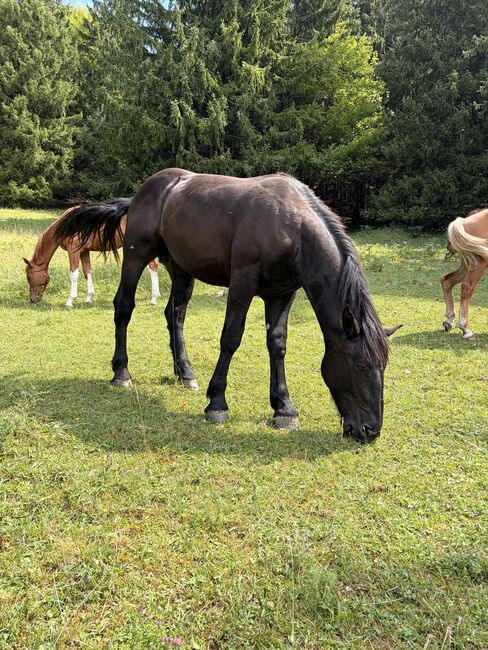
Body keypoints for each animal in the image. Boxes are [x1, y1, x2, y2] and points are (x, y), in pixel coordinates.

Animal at [23, 203, 161, 308]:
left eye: (29, 277)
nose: (32, 299)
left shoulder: (73, 251)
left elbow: (74, 274)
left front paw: (70, 301)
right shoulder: (84, 252)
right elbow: (87, 272)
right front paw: (88, 298)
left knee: (153, 267)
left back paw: (153, 299)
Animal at [54, 168, 402, 443]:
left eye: (383, 366)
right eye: (361, 366)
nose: (370, 430)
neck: (291, 228)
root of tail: (145, 190)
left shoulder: (282, 293)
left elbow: (277, 344)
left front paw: (284, 408)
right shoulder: (242, 284)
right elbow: (231, 338)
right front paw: (217, 403)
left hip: (180, 268)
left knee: (175, 315)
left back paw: (185, 373)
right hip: (137, 255)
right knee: (124, 307)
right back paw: (121, 372)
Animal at [440, 208, 488, 339]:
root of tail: (463, 221)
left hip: (467, 266)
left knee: (446, 280)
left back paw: (449, 320)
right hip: (478, 265)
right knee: (466, 288)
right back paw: (465, 328)